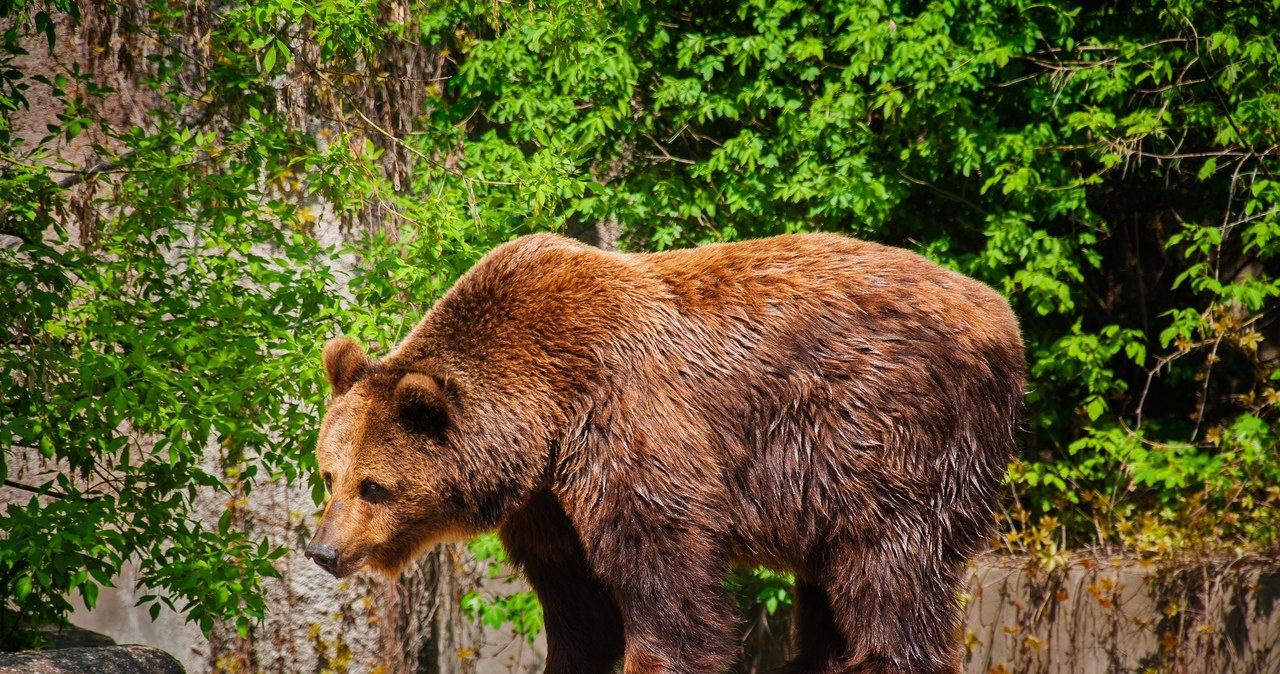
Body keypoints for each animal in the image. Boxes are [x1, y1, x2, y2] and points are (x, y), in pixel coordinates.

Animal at [304, 234, 1024, 674]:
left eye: (375, 486)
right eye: (329, 475)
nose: (323, 551)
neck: (544, 412)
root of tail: (1002, 317)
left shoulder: (628, 417)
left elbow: (662, 565)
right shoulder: (548, 500)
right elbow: (575, 600)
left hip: (887, 433)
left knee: (888, 567)